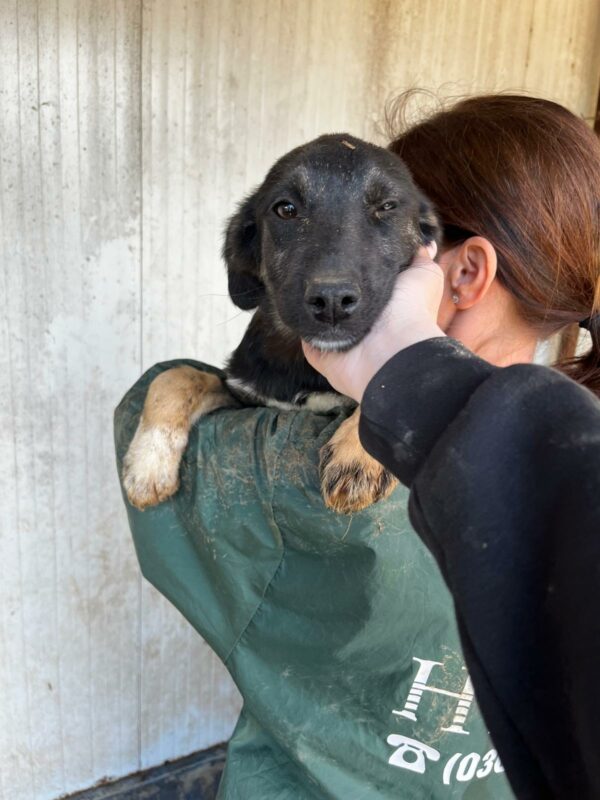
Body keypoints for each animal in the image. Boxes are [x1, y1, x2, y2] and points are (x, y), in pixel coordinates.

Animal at [123, 134, 440, 512]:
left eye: (388, 206)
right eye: (286, 209)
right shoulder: (244, 396)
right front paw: (148, 462)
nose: (332, 301)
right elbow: (177, 376)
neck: (301, 362)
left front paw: (359, 456)